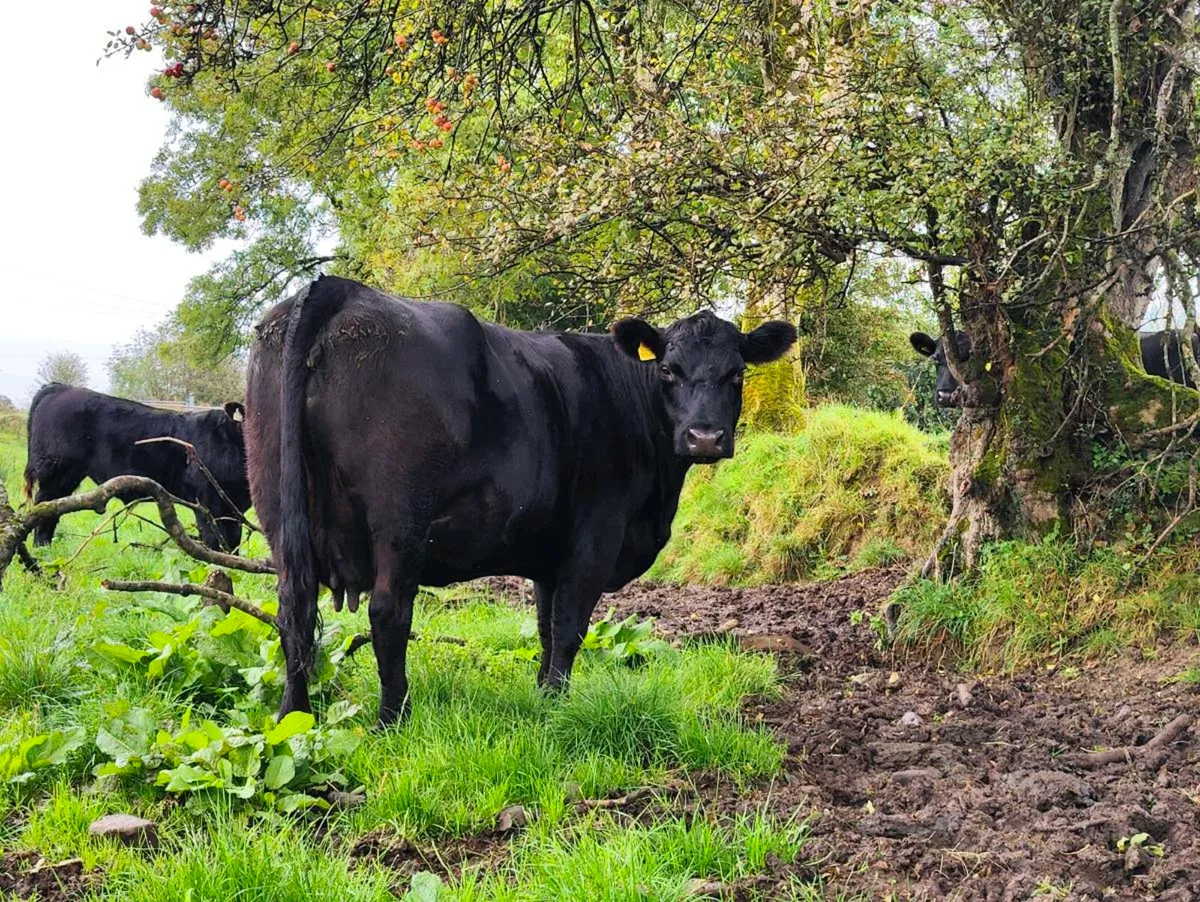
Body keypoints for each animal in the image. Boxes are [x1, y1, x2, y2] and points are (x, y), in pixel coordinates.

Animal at [24, 384, 251, 550]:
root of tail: (61, 387)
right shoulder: (206, 500)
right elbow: (215, 539)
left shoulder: (235, 508)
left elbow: (233, 541)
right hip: (56, 472)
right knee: (45, 506)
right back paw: (41, 549)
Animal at [246, 275, 797, 725]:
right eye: (668, 371)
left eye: (737, 374)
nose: (704, 437)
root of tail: (341, 289)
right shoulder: (595, 538)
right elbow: (570, 626)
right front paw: (558, 706)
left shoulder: (550, 553)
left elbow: (545, 628)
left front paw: (543, 697)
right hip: (400, 522)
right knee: (388, 614)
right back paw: (392, 718)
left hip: (277, 507)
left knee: (292, 609)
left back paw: (294, 718)